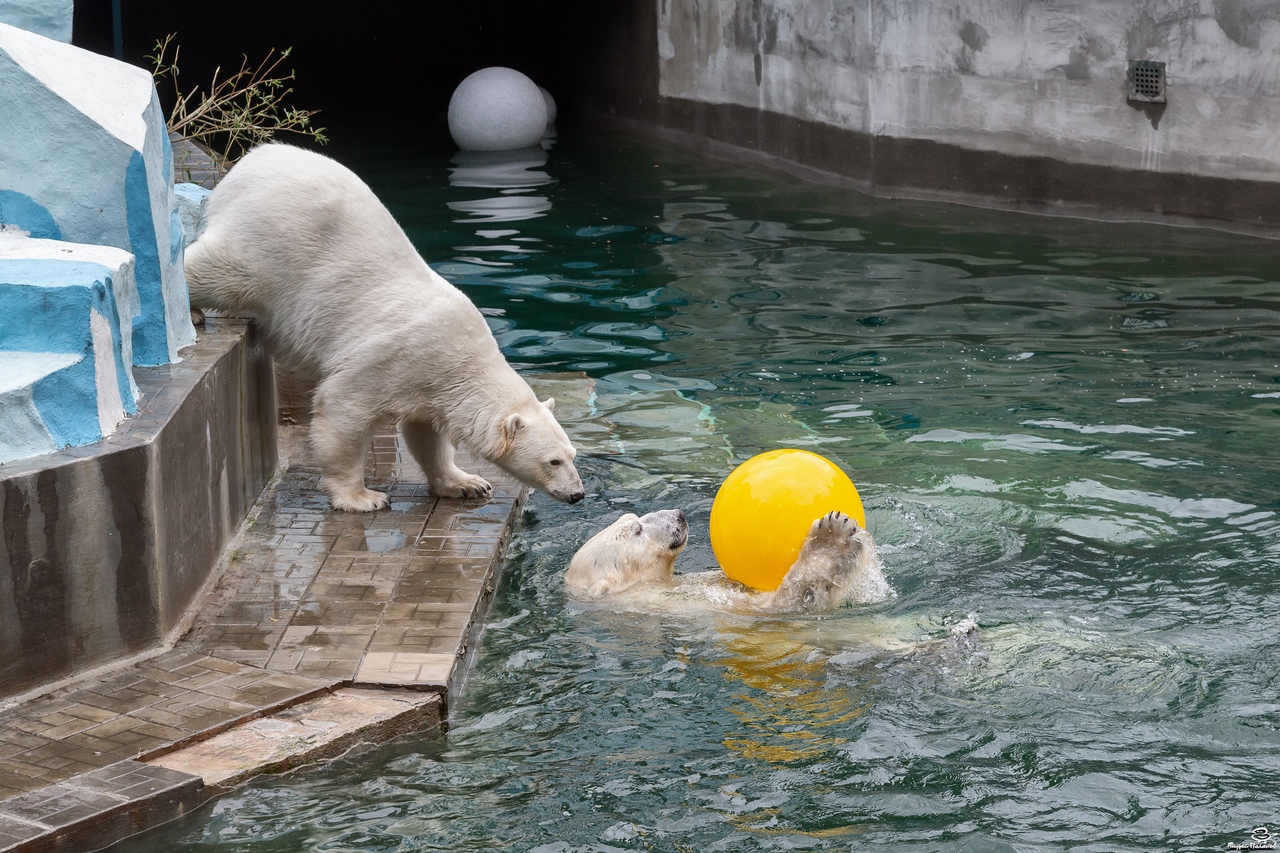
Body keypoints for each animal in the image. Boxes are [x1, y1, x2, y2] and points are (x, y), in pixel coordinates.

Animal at [185, 144, 586, 512]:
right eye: (552, 461)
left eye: (573, 454)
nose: (577, 494)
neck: (463, 358)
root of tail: (253, 158)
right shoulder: (392, 357)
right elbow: (342, 410)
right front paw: (362, 497)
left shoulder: (433, 385)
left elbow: (427, 434)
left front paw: (467, 483)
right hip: (271, 243)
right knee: (221, 272)